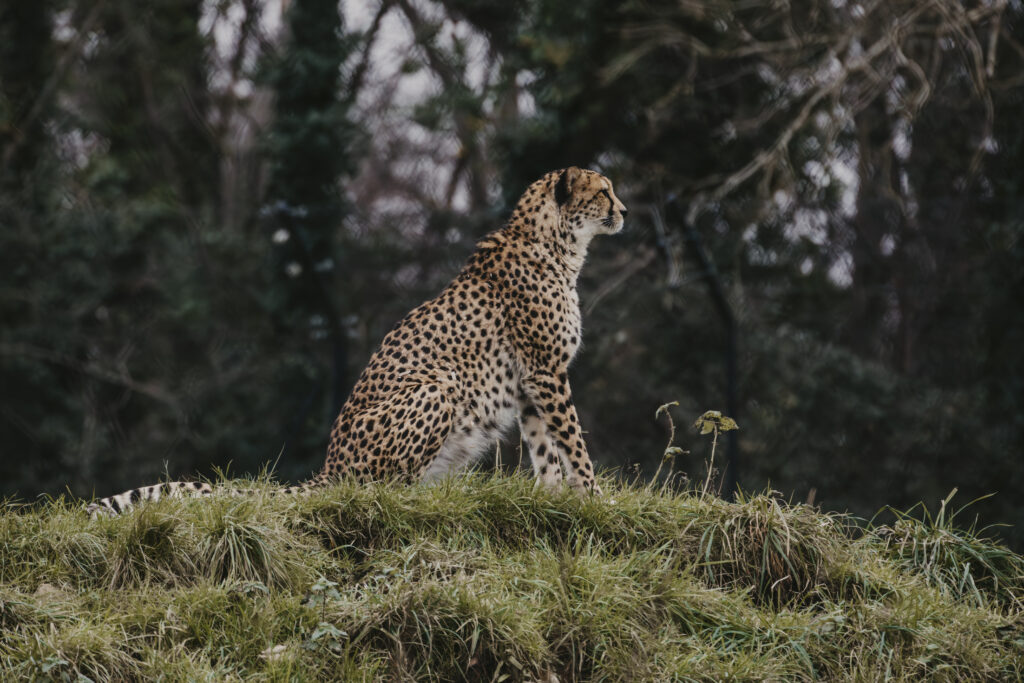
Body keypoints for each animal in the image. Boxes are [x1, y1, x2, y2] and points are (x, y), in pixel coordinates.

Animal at [85, 166, 627, 517]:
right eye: (604, 191)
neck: (558, 245)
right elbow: (573, 441)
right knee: (381, 491)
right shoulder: (546, 372)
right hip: (440, 386)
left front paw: (556, 499)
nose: (624, 210)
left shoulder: (533, 382)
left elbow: (546, 449)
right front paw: (595, 496)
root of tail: (330, 468)